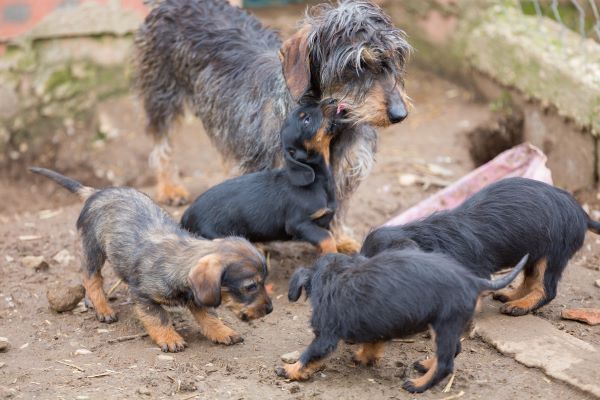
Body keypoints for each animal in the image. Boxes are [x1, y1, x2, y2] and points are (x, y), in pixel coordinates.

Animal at [28, 167, 272, 352]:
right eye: (250, 286)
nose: (270, 309)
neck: (179, 261)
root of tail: (95, 193)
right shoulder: (143, 296)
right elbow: (158, 317)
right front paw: (169, 338)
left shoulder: (197, 298)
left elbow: (210, 316)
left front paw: (222, 332)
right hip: (92, 250)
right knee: (91, 279)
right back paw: (103, 308)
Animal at [180, 101, 344, 255]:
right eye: (306, 120)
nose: (331, 99)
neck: (318, 179)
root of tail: (185, 217)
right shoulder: (299, 223)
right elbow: (327, 237)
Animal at [274, 252, 528, 392]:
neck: (335, 275)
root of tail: (474, 281)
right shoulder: (376, 327)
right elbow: (372, 344)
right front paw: (364, 358)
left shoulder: (325, 335)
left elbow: (308, 354)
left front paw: (290, 370)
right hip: (444, 325)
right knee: (454, 349)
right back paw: (425, 366)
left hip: (444, 324)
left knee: (447, 363)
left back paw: (418, 385)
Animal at [360, 177, 600, 316]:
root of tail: (583, 214)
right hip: (535, 253)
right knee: (530, 280)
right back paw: (512, 297)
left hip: (552, 255)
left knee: (546, 289)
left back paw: (519, 306)